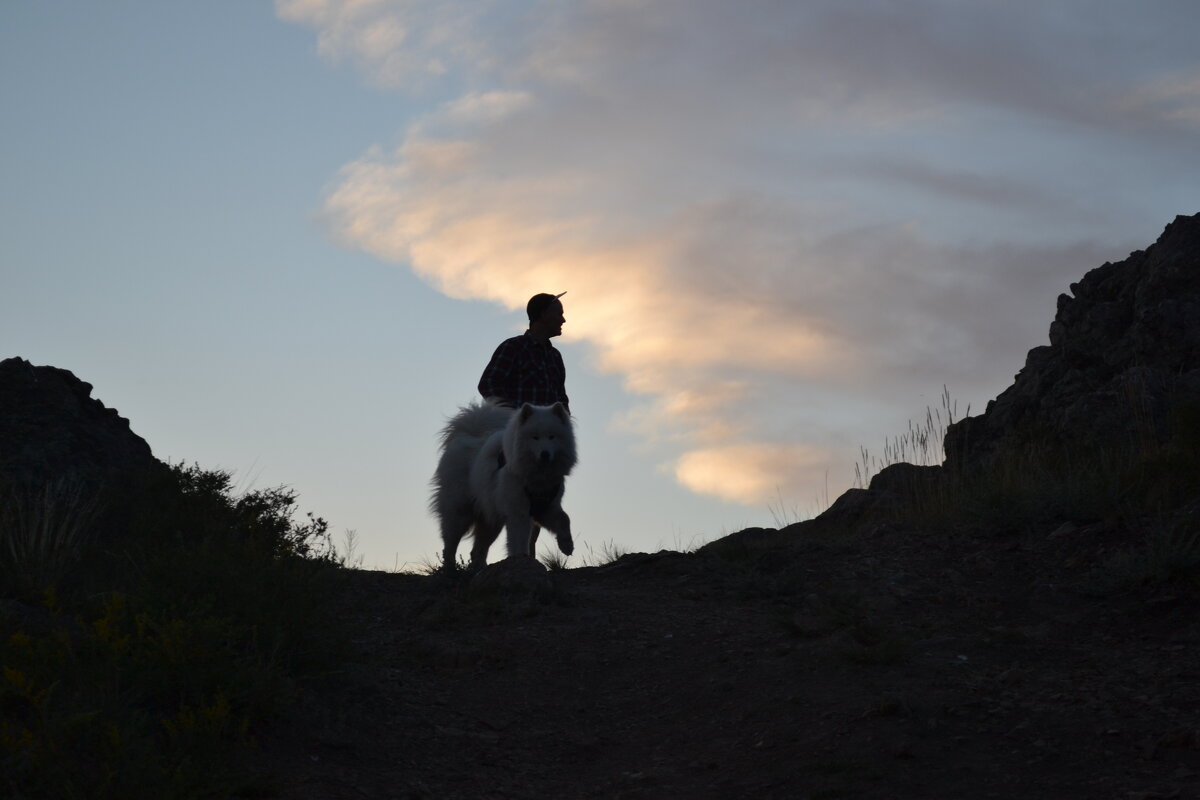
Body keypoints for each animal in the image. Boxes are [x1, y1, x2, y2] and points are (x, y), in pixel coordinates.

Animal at [434, 400, 578, 568]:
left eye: (551, 437)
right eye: (535, 437)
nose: (545, 454)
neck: (537, 477)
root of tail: (469, 435)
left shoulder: (546, 506)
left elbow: (564, 519)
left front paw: (566, 545)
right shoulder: (518, 511)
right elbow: (519, 538)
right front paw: (521, 559)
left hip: (490, 518)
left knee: (477, 550)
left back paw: (479, 568)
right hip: (459, 513)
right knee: (450, 544)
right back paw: (450, 568)